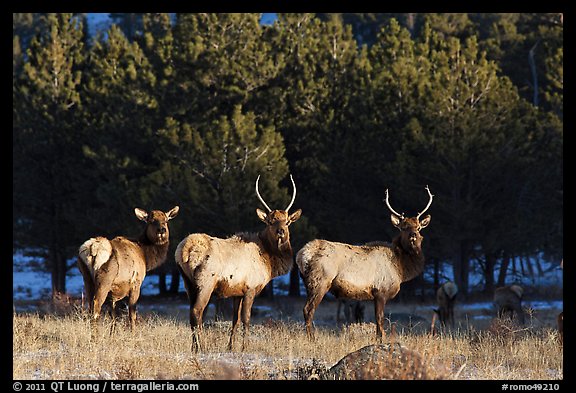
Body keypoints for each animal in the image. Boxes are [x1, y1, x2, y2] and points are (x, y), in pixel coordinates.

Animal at [176, 174, 302, 350]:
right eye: (270, 221)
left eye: (287, 221)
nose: (281, 231)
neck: (269, 262)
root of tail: (185, 250)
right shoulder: (250, 288)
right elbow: (246, 319)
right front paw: (244, 347)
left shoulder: (237, 292)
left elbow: (234, 320)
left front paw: (230, 347)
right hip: (206, 282)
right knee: (197, 311)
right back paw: (201, 347)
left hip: (188, 283)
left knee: (192, 313)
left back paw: (194, 347)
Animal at [296, 185, 432, 338]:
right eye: (403, 227)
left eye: (418, 227)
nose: (413, 235)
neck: (401, 269)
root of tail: (302, 255)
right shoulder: (380, 291)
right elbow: (380, 319)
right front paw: (381, 338)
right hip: (320, 281)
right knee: (308, 309)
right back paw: (312, 338)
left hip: (308, 282)